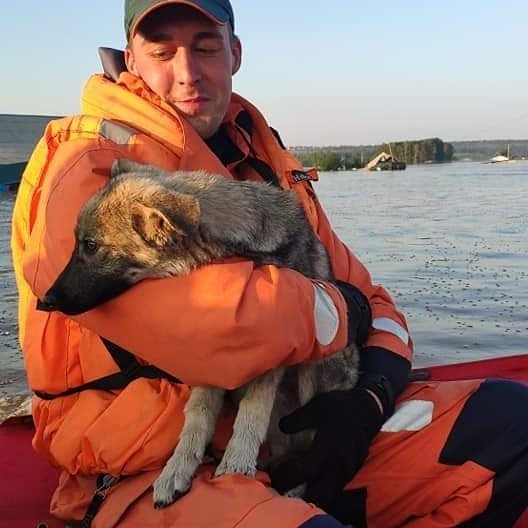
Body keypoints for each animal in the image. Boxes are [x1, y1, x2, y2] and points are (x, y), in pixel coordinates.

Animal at [41, 159, 359, 508]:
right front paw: (176, 469)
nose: (45, 301)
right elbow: (198, 414)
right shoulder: (213, 355)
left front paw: (236, 463)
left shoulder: (276, 349)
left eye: (91, 246)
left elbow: (254, 408)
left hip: (317, 372)